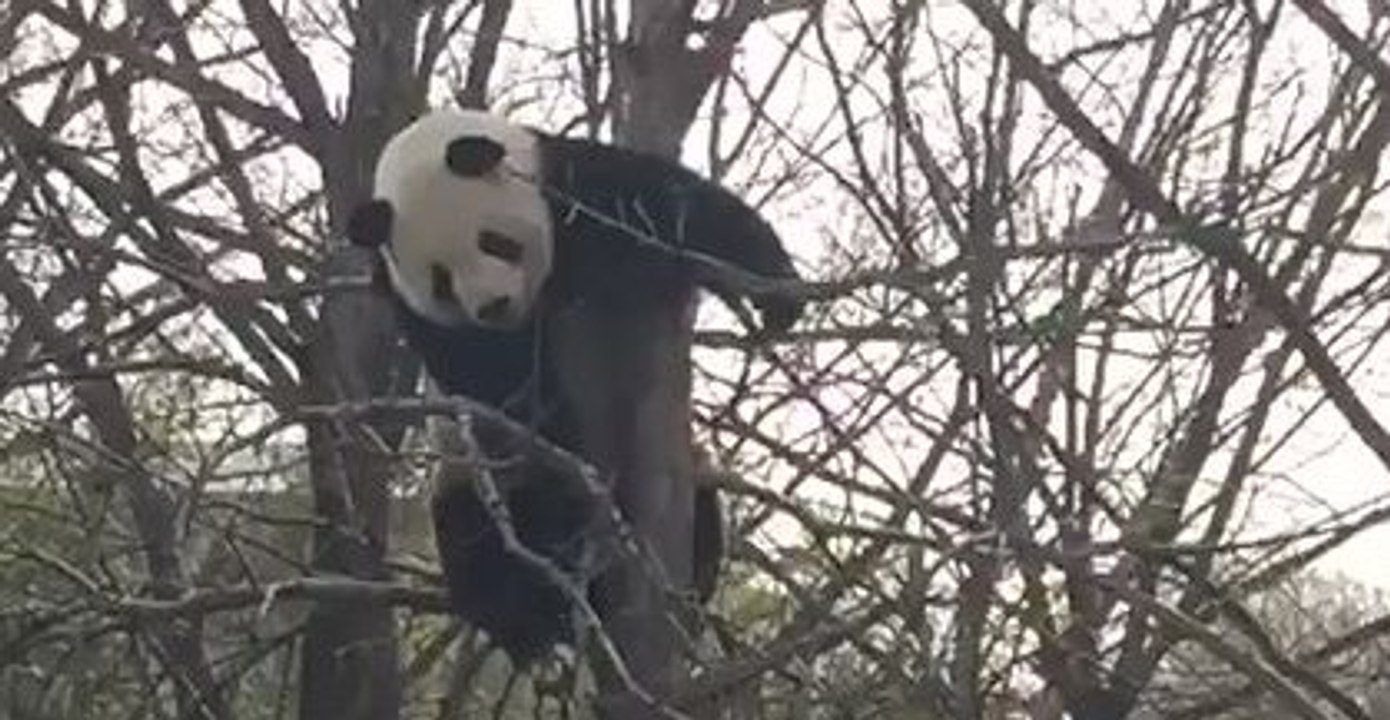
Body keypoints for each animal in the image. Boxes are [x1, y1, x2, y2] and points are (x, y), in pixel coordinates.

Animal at [346, 108, 800, 664]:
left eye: (494, 242)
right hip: (465, 478)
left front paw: (777, 296)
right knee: (477, 534)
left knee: (702, 507)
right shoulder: (427, 316)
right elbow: (504, 391)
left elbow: (685, 213)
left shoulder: (575, 192)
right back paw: (531, 616)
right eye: (442, 281)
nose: (493, 306)